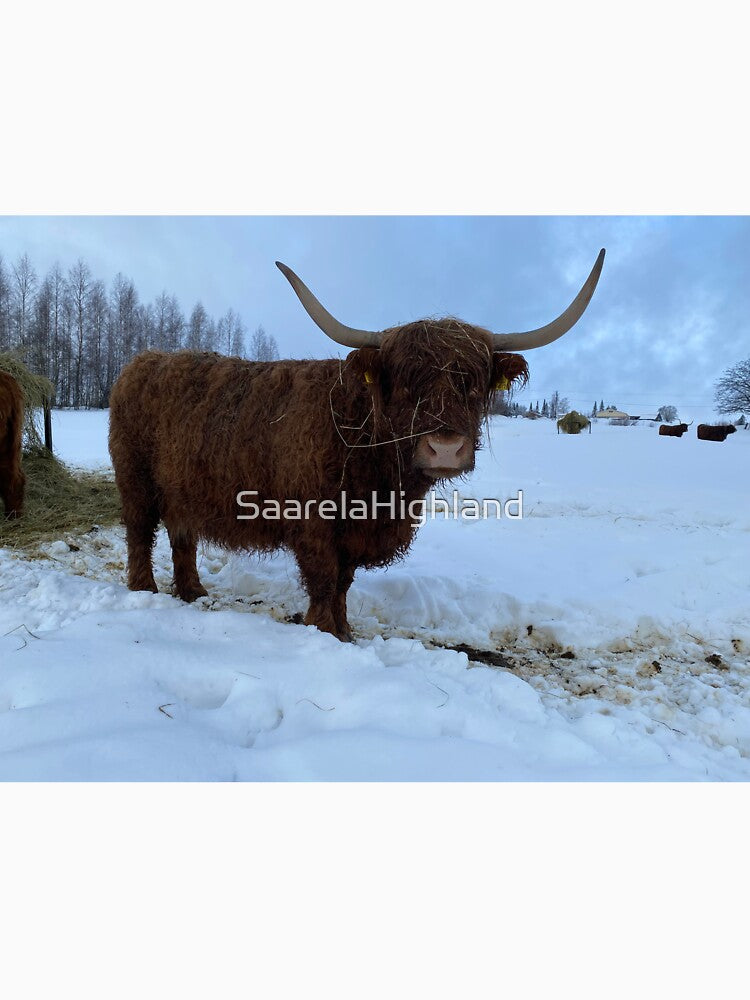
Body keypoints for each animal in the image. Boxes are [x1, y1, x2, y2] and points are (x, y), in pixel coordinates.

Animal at [109, 250, 605, 641]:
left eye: (472, 383)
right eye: (404, 383)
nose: (445, 448)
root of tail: (141, 361)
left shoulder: (355, 529)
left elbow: (345, 582)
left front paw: (345, 631)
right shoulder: (312, 520)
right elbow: (325, 578)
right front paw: (324, 631)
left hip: (183, 487)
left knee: (182, 535)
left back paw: (192, 591)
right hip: (136, 479)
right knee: (140, 531)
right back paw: (144, 589)